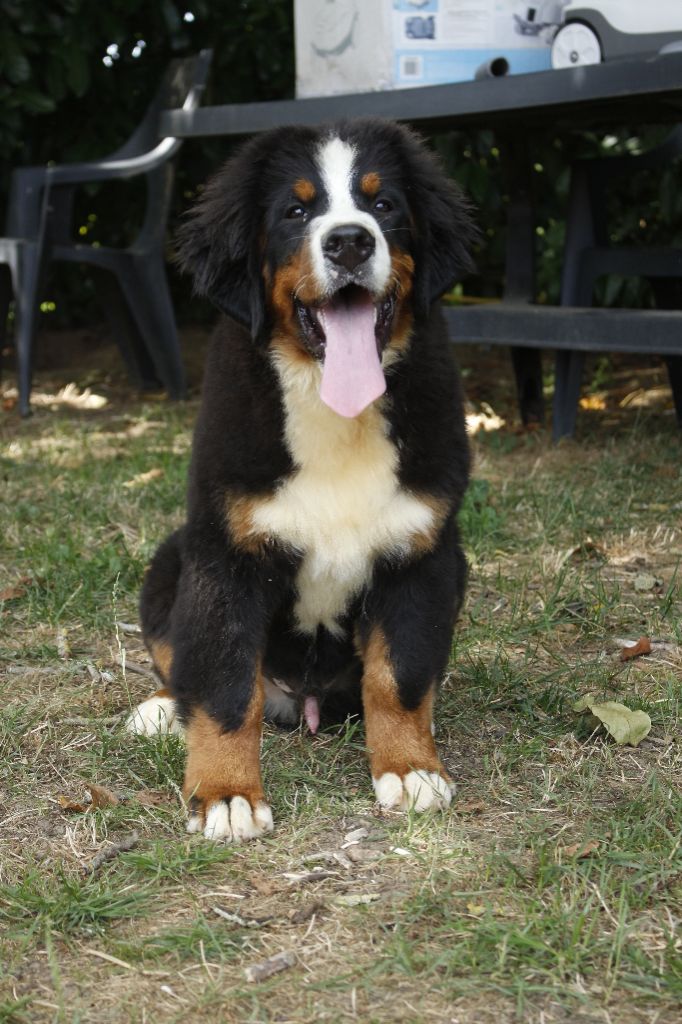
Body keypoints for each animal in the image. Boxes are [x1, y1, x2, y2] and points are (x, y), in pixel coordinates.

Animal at [125, 117, 473, 839]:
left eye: (383, 204)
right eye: (295, 211)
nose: (349, 241)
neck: (331, 404)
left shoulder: (423, 554)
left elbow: (398, 678)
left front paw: (409, 768)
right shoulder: (226, 557)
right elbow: (226, 686)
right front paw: (226, 794)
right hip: (174, 555)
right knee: (185, 662)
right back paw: (162, 709)